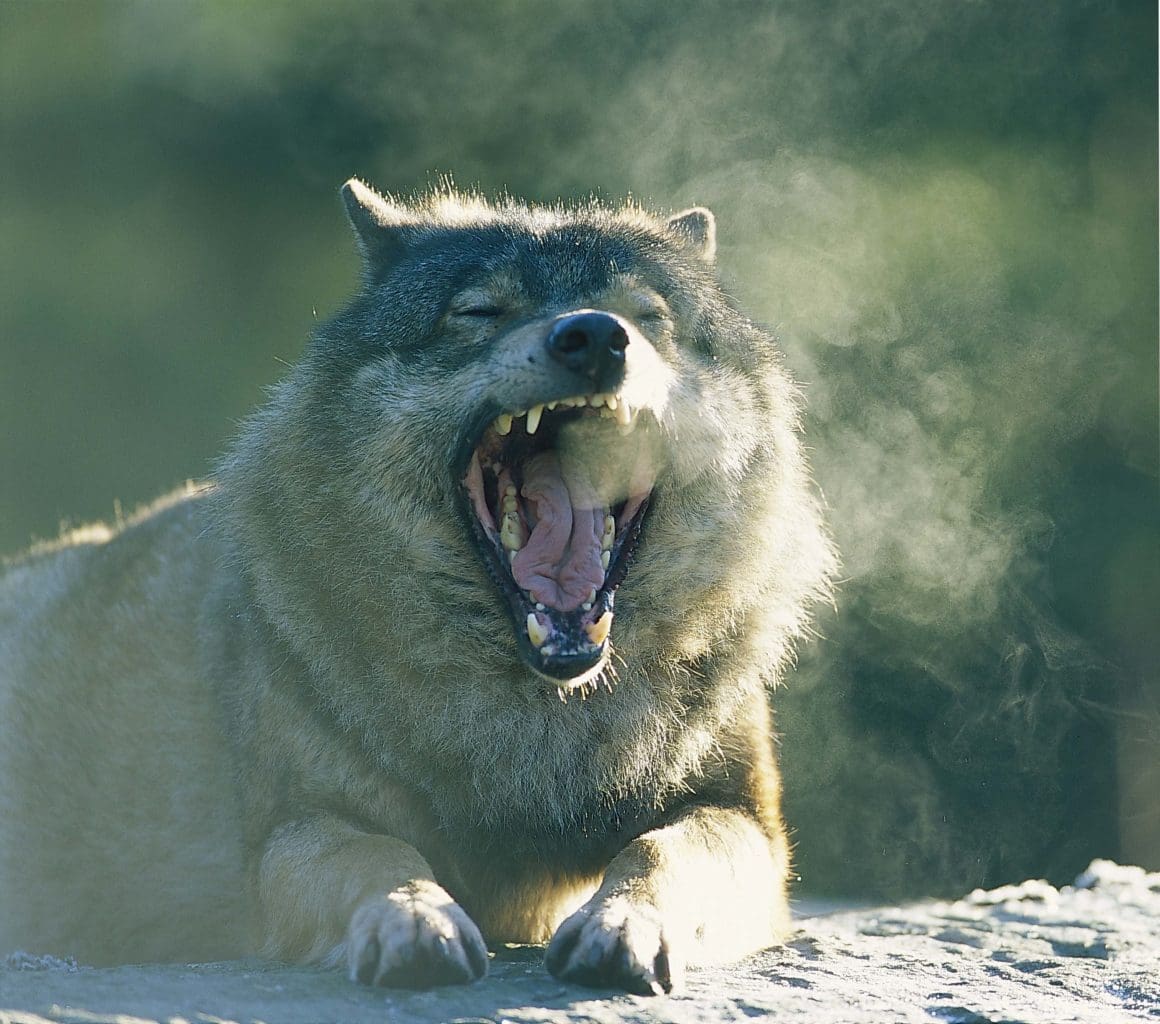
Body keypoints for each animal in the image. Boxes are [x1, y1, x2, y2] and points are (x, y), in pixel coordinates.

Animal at [0, 178, 835, 992]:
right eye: (480, 311)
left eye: (648, 316)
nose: (596, 336)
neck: (540, 712)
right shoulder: (291, 830)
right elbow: (381, 854)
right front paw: (413, 919)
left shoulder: (744, 820)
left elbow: (658, 851)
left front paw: (622, 924)